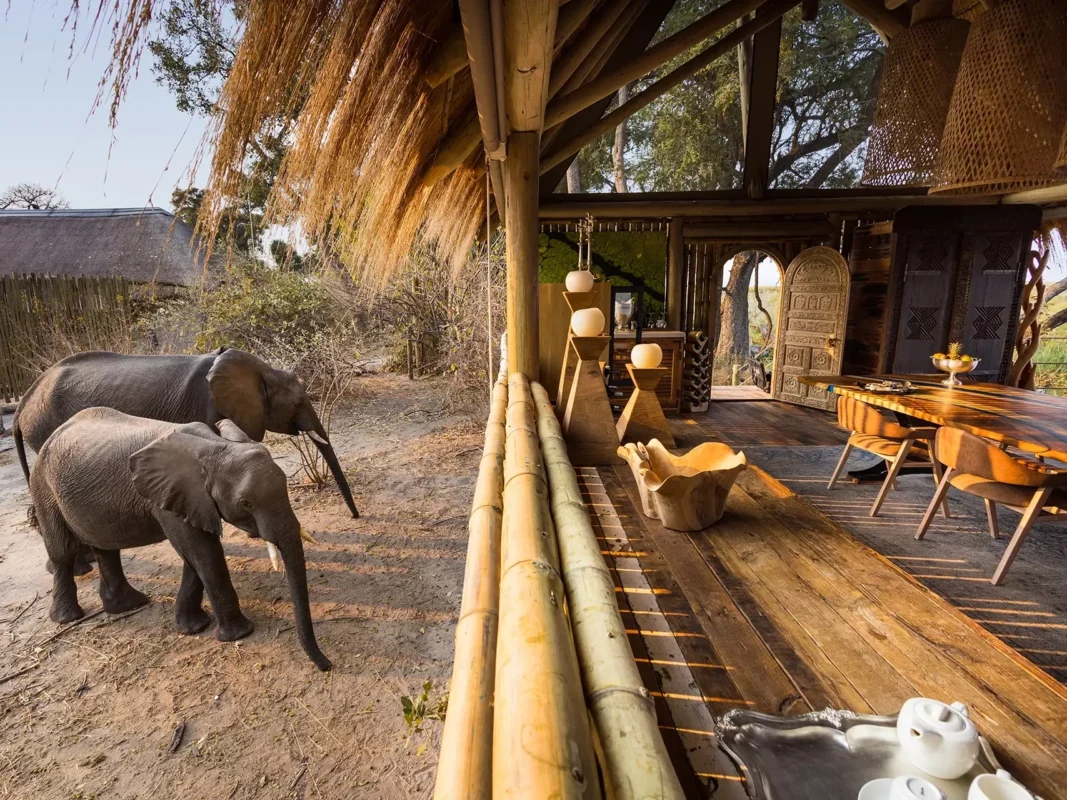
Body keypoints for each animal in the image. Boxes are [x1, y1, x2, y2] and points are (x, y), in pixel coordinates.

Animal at [13, 348, 358, 520]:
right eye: (298, 403)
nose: (356, 517)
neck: (261, 370)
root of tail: (23, 402)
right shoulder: (209, 408)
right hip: (45, 427)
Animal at [29, 407, 332, 671]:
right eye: (246, 503)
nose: (327, 665)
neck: (215, 448)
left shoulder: (187, 498)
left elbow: (193, 556)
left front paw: (193, 628)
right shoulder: (167, 496)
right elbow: (202, 552)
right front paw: (240, 634)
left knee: (106, 548)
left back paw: (128, 605)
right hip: (42, 486)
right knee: (62, 552)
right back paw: (69, 617)